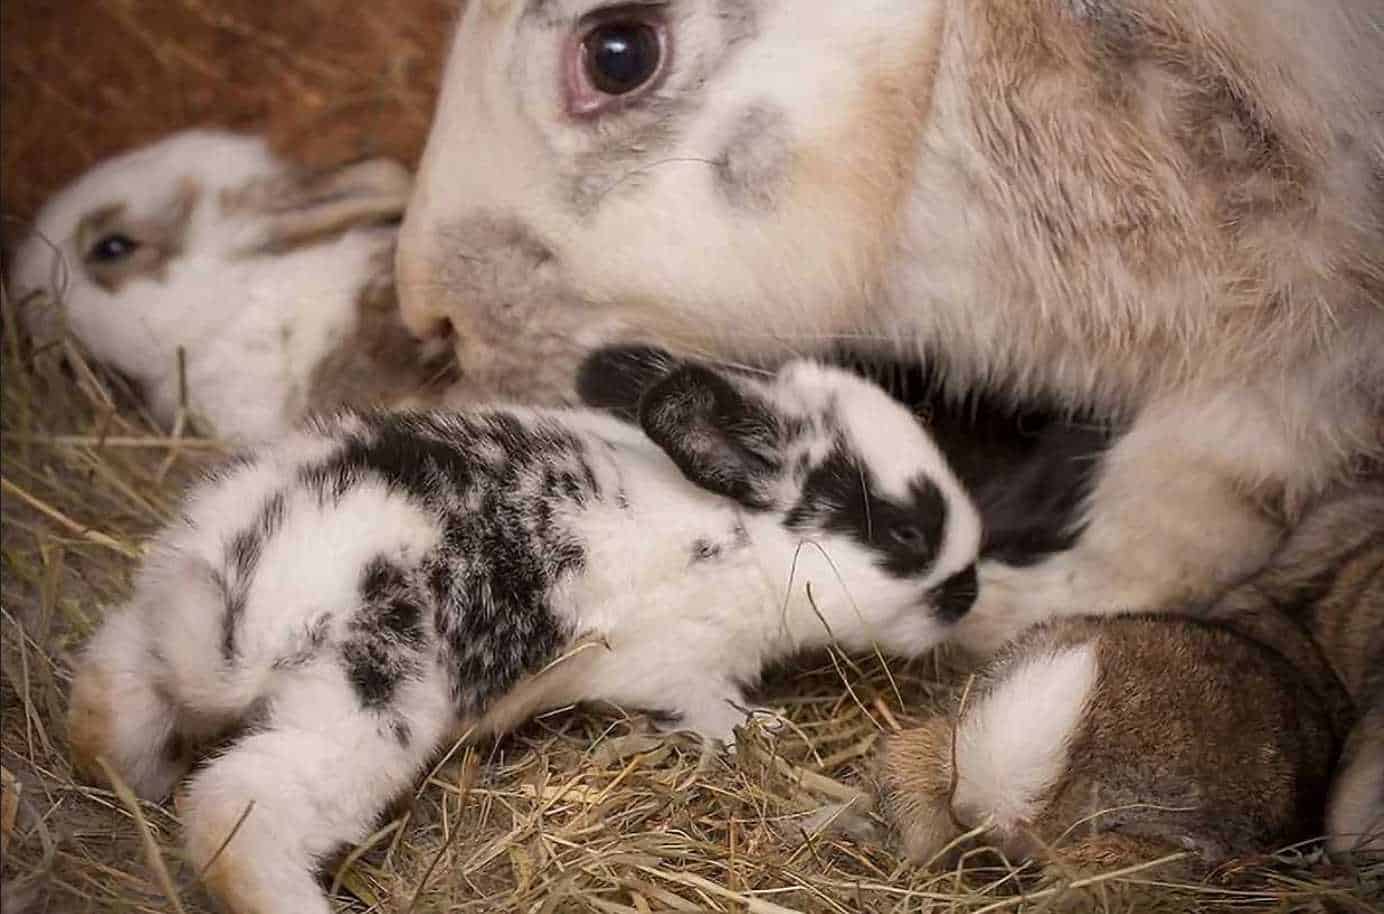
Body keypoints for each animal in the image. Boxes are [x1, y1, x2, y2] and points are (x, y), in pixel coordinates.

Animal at [70, 354, 985, 914]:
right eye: (906, 532)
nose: (969, 592)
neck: (739, 534)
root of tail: (248, 602)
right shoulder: (683, 663)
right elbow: (706, 705)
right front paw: (755, 729)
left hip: (152, 626)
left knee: (112, 694)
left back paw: (128, 770)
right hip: (359, 714)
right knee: (237, 813)